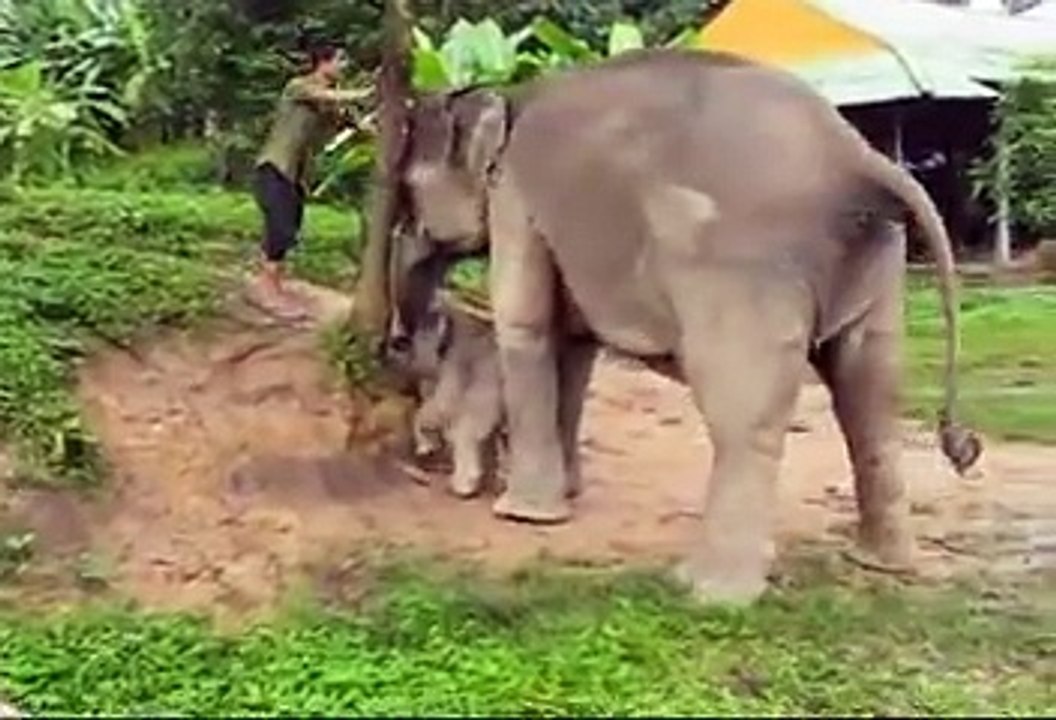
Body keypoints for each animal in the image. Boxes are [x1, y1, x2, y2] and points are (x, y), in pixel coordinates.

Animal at [366, 47, 983, 603]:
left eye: (408, 186)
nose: (395, 340)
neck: (506, 92)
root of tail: (858, 158)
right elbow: (576, 343)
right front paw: (565, 496)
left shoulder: (515, 196)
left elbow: (527, 321)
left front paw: (522, 516)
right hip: (878, 258)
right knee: (871, 393)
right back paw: (883, 565)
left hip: (741, 273)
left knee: (745, 414)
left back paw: (708, 591)